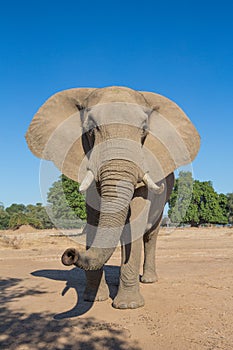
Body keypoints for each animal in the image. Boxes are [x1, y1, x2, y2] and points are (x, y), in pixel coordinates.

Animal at [26, 86, 200, 308]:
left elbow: (135, 224)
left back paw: (149, 280)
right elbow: (94, 222)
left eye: (144, 130)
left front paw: (128, 305)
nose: (70, 253)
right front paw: (95, 298)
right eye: (91, 129)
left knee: (150, 236)